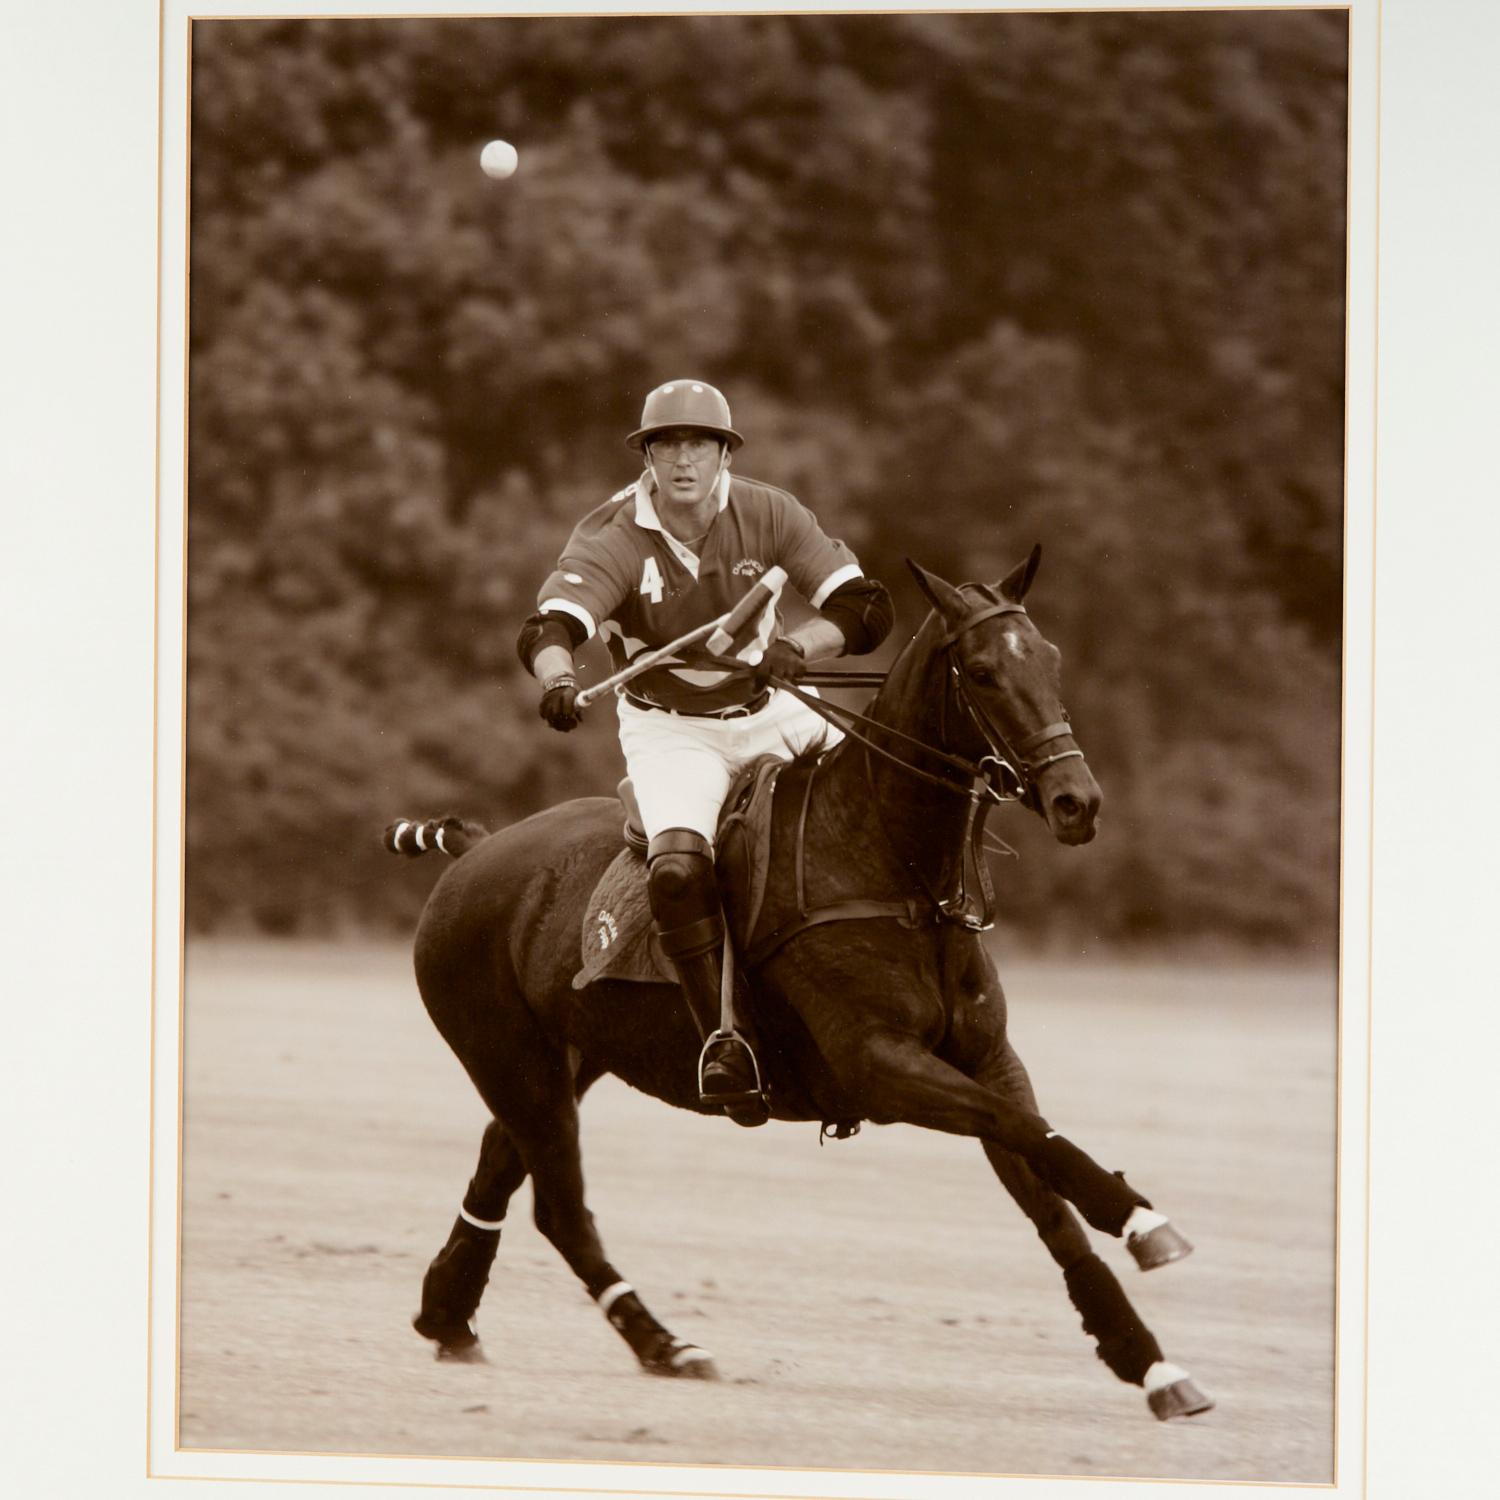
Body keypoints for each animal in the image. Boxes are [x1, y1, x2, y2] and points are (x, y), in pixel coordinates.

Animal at [390, 549, 1218, 1416]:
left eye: (1050, 660)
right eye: (984, 672)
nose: (1075, 802)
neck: (894, 866)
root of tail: (476, 850)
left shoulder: (988, 1059)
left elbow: (1043, 1182)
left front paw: (1152, 1364)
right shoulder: (879, 1065)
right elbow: (1027, 1130)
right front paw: (1141, 1221)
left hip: (564, 1060)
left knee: (500, 1166)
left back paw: (449, 1315)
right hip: (510, 1059)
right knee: (562, 1208)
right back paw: (664, 1344)